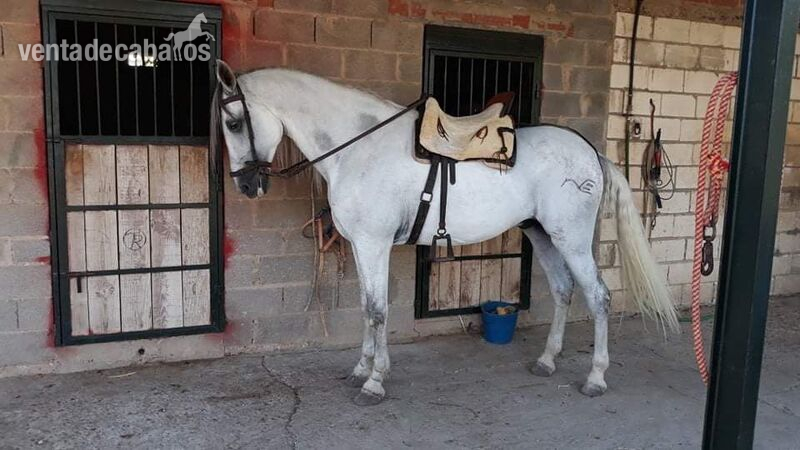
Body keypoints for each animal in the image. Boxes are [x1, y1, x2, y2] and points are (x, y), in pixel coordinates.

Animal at [210, 61, 679, 406]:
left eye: (232, 123)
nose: (246, 186)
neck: (358, 149)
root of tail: (590, 152)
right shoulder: (361, 246)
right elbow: (365, 307)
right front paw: (361, 369)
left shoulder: (374, 244)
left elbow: (377, 310)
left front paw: (375, 382)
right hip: (542, 234)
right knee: (564, 290)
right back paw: (547, 361)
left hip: (572, 238)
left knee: (598, 296)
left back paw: (595, 378)